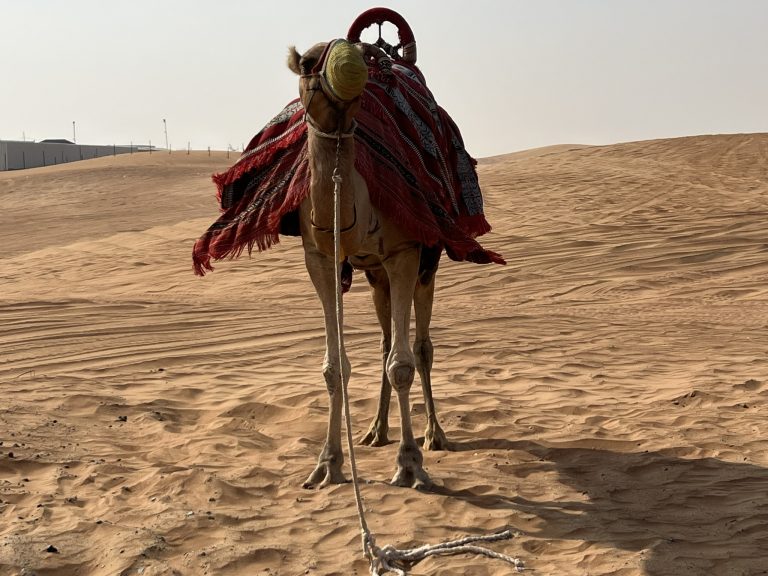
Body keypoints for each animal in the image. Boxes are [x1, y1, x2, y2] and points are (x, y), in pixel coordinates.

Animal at [288, 41, 448, 490]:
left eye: (363, 53)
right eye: (308, 63)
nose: (351, 64)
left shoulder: (403, 254)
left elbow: (403, 365)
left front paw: (410, 464)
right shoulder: (320, 259)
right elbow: (334, 367)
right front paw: (327, 464)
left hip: (425, 269)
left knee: (421, 346)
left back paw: (434, 434)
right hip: (376, 279)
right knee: (384, 342)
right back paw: (376, 430)